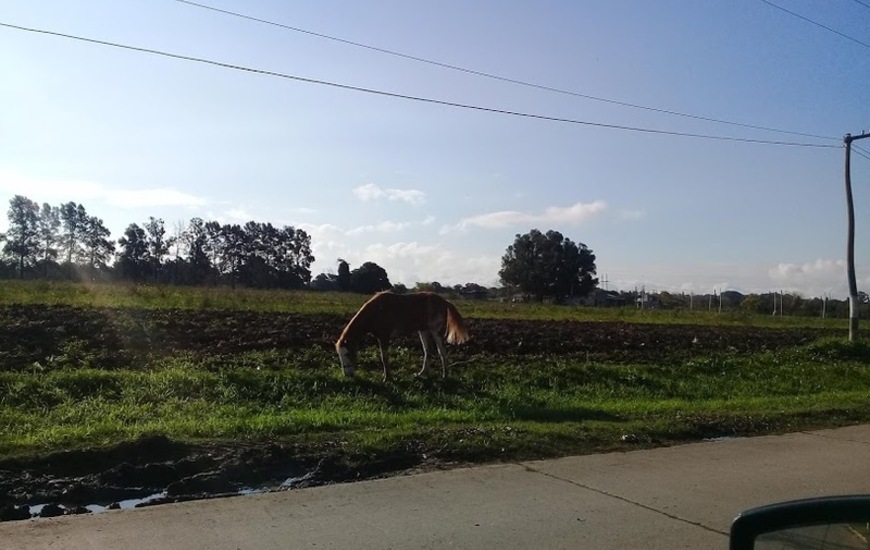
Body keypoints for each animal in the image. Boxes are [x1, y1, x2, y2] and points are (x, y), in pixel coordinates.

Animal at [335, 291, 469, 381]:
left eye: (347, 354)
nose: (347, 375)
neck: (376, 311)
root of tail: (445, 302)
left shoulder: (383, 337)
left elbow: (384, 358)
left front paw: (387, 378)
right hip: (423, 331)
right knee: (428, 351)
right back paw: (421, 374)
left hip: (435, 332)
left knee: (442, 352)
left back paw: (445, 376)